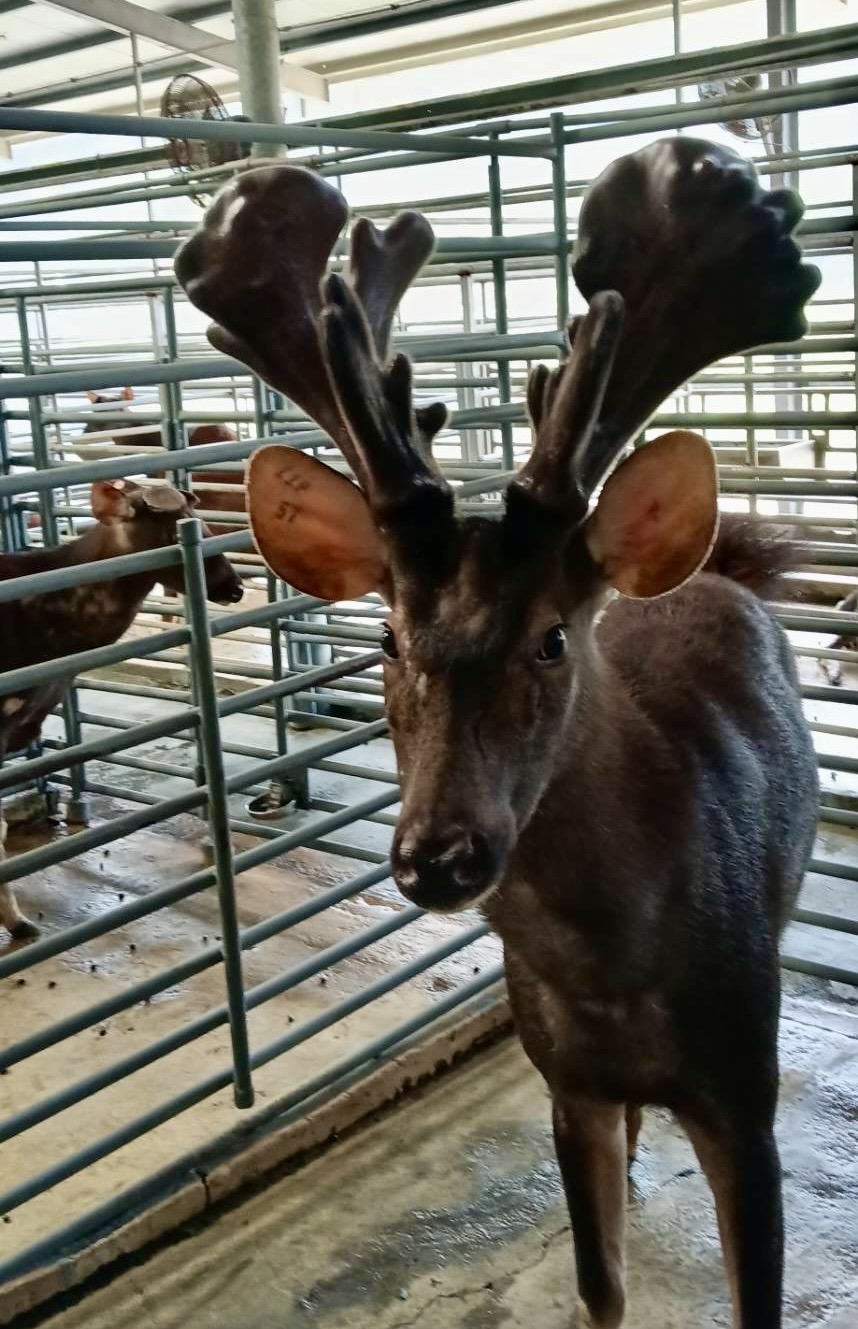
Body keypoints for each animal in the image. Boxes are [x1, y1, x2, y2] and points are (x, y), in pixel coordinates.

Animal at [175, 141, 821, 1328]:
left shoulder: (743, 1090)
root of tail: (721, 563)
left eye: (553, 638)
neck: (613, 981)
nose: (440, 853)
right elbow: (600, 1287)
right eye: (386, 633)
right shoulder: (560, 1077)